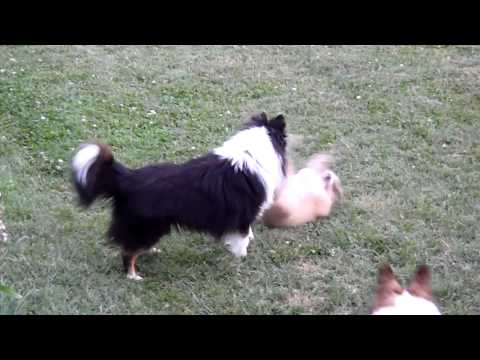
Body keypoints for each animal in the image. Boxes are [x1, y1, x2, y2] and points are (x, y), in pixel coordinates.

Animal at [71, 112, 286, 278]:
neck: (251, 154)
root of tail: (128, 178)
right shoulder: (243, 215)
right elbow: (241, 240)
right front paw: (241, 258)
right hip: (147, 228)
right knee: (128, 252)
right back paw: (133, 276)